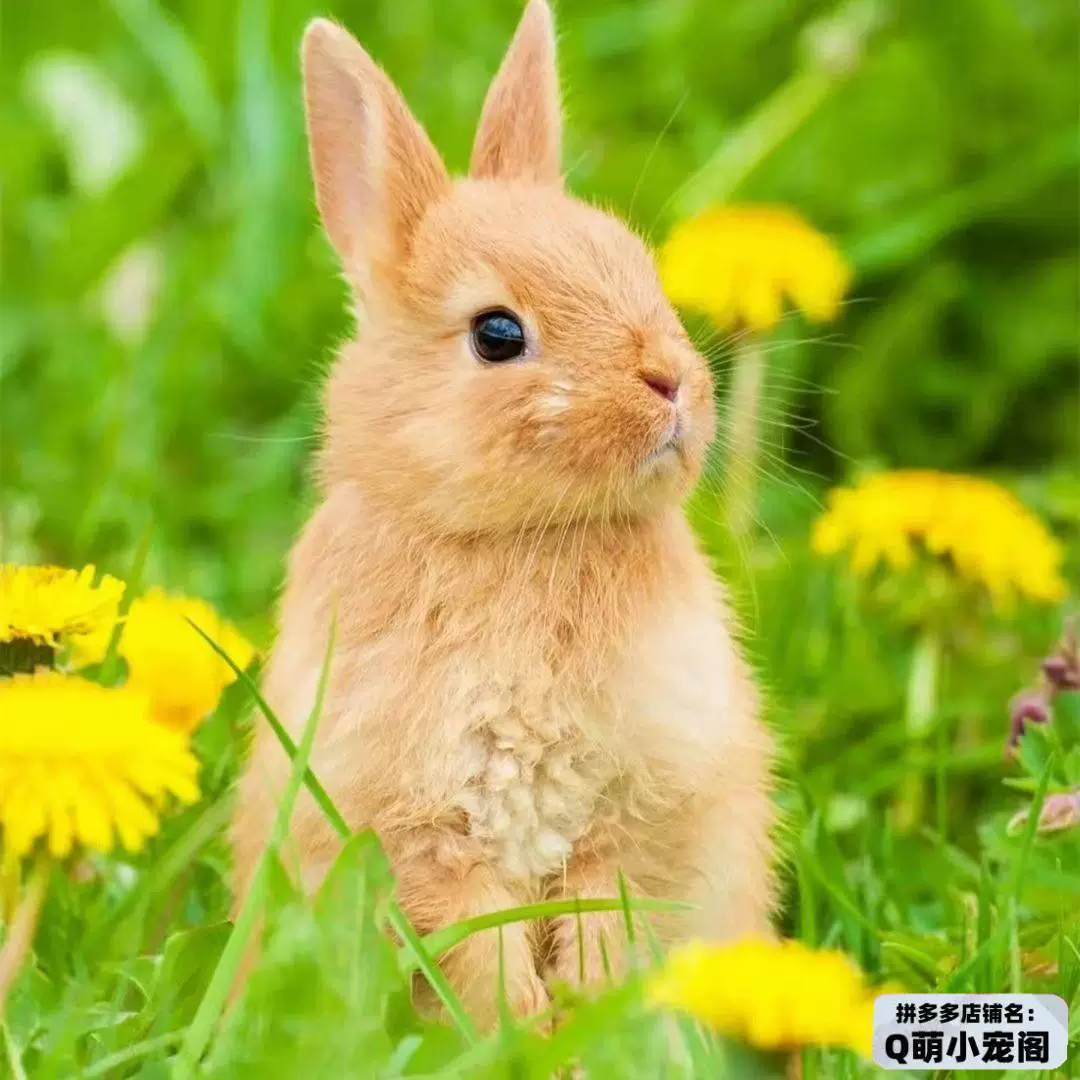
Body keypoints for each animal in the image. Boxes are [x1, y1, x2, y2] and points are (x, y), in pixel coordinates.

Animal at [232, 0, 775, 1029]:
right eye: (497, 334)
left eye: (638, 269)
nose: (672, 382)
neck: (519, 541)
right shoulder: (427, 831)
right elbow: (478, 945)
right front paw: (517, 1033)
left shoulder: (632, 812)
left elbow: (607, 917)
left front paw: (589, 1022)